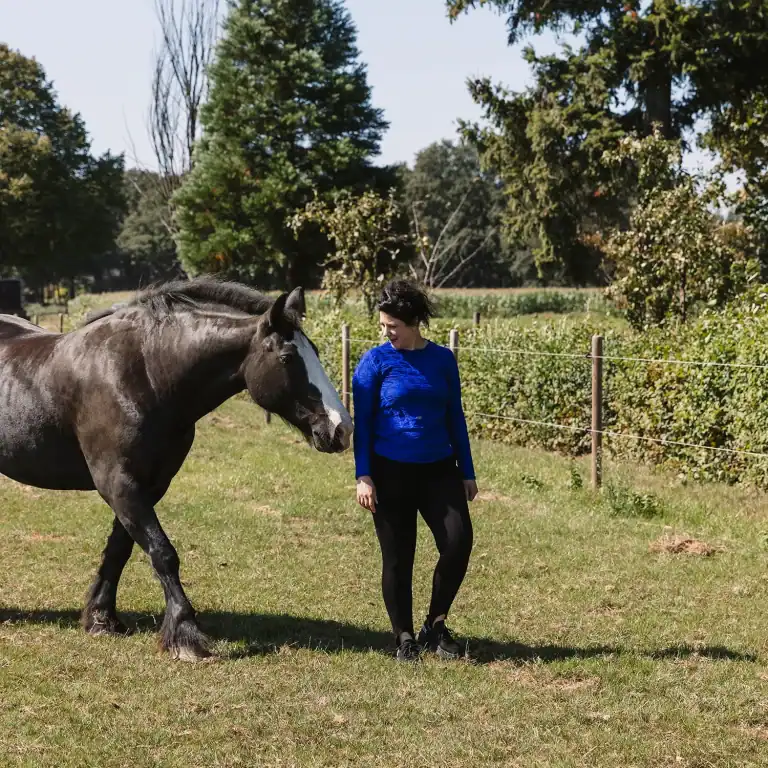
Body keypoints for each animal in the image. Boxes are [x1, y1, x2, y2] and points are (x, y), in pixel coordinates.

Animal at [0, 278, 353, 661]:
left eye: (315, 351)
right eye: (288, 358)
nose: (341, 428)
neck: (145, 375)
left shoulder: (150, 486)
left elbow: (120, 550)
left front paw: (101, 619)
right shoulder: (119, 485)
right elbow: (163, 553)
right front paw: (186, 635)